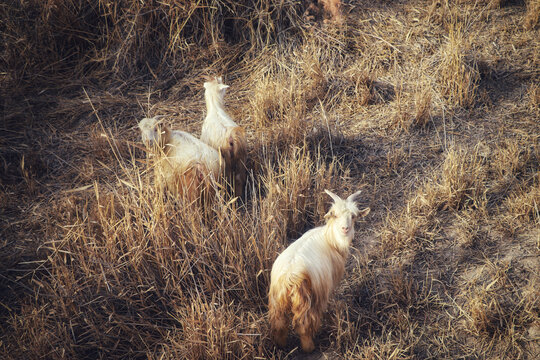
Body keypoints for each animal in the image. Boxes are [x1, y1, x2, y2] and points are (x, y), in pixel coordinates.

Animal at [268, 190, 372, 352]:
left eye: (353, 216)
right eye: (335, 215)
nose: (345, 229)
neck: (330, 239)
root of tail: (289, 277)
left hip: (276, 300)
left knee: (278, 324)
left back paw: (281, 345)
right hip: (308, 300)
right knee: (303, 325)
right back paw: (309, 347)